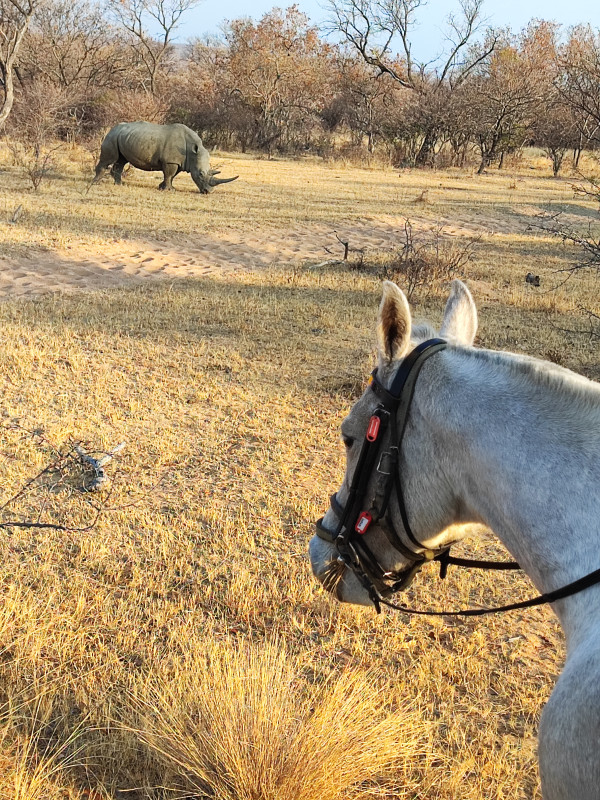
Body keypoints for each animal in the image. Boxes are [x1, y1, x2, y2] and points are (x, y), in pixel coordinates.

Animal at [91, 123, 237, 195]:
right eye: (200, 174)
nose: (208, 192)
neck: (192, 151)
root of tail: (113, 127)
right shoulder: (171, 161)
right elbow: (169, 174)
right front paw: (168, 190)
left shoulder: (179, 161)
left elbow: (172, 176)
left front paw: (164, 187)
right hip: (112, 136)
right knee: (109, 159)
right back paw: (95, 183)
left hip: (123, 137)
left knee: (121, 160)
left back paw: (119, 184)